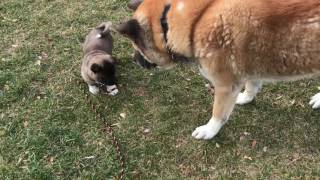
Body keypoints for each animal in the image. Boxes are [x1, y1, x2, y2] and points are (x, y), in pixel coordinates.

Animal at [115, 0, 320, 140]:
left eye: (136, 46)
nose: (134, 61)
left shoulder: (224, 86)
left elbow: (218, 113)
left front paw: (209, 130)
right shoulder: (251, 65)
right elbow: (252, 85)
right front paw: (246, 98)